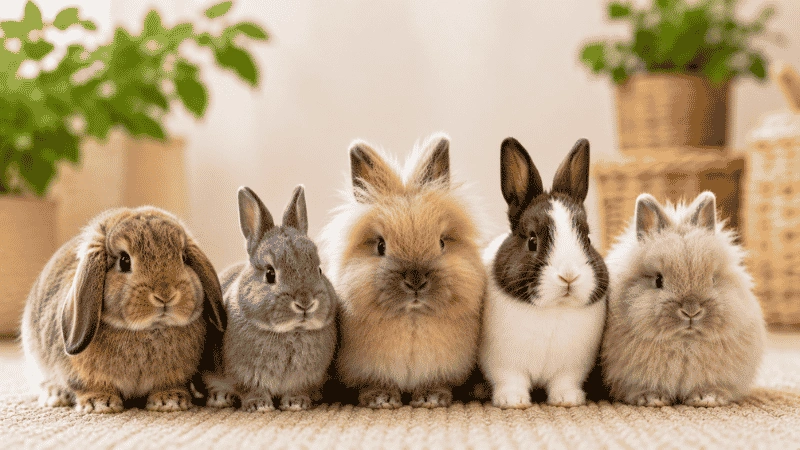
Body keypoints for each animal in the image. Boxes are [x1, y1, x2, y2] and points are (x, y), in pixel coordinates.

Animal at [20, 207, 226, 413]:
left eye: (183, 258)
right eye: (124, 261)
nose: (166, 296)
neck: (148, 330)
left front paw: (170, 400)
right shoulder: (80, 373)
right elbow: (88, 386)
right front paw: (100, 403)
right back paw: (55, 396)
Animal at [204, 186, 337, 412]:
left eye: (319, 270)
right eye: (270, 274)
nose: (305, 303)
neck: (290, 332)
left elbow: (298, 389)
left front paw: (296, 403)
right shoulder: (242, 374)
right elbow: (249, 389)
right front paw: (259, 405)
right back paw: (221, 398)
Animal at [319, 133, 486, 409]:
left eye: (442, 243)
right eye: (380, 245)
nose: (416, 282)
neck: (412, 318)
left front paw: (431, 398)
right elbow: (374, 384)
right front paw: (381, 399)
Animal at [480, 137, 609, 409]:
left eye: (588, 238)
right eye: (532, 241)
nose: (568, 276)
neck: (553, 309)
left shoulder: (571, 367)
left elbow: (564, 382)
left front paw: (567, 400)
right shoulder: (504, 363)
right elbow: (511, 380)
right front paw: (513, 402)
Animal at [601, 192, 766, 407]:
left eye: (713, 279)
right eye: (658, 280)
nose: (691, 311)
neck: (684, 344)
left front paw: (707, 398)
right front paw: (653, 399)